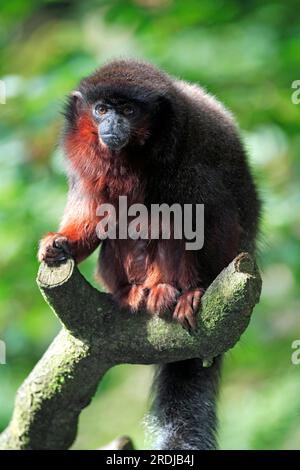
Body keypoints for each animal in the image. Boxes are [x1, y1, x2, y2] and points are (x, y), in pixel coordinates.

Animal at [38, 59, 260, 452]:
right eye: (101, 110)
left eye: (128, 111)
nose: (112, 124)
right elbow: (92, 208)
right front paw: (62, 244)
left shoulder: (187, 162)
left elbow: (199, 215)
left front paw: (192, 289)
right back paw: (131, 290)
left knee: (177, 213)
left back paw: (172, 289)